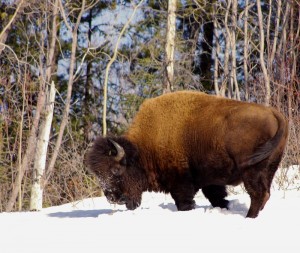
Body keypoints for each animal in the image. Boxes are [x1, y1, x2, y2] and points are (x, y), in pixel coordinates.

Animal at [86, 91, 288, 217]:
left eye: (115, 170)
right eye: (98, 174)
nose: (112, 197)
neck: (143, 148)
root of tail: (272, 112)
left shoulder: (181, 183)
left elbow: (184, 203)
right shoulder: (211, 181)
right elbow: (218, 198)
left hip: (252, 171)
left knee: (258, 194)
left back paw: (249, 217)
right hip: (270, 167)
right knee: (264, 193)